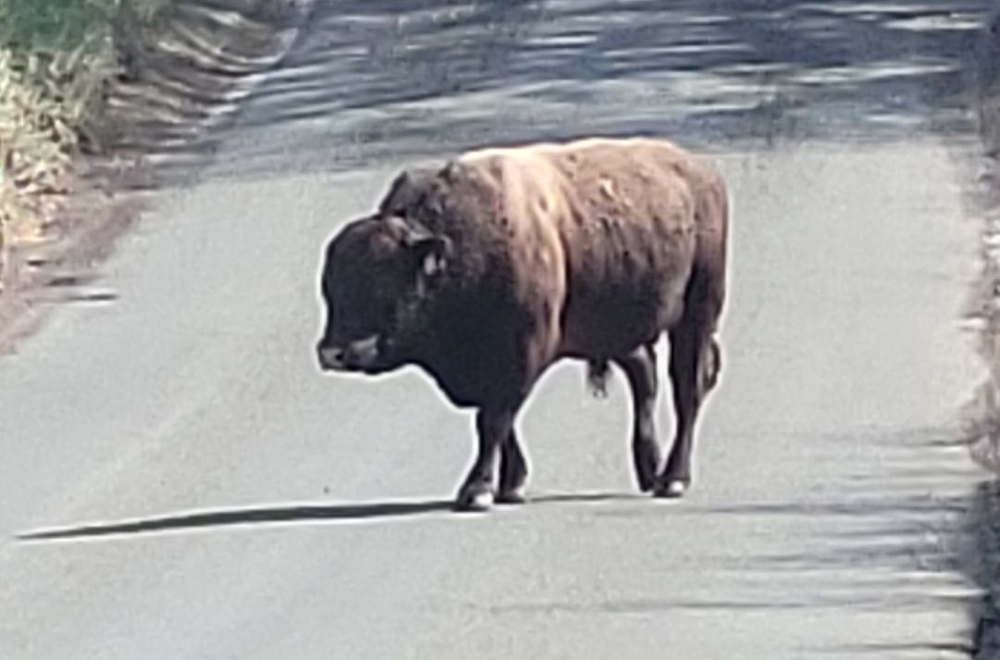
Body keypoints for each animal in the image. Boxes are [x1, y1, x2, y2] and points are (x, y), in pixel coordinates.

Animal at [316, 136, 728, 512]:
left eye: (382, 285)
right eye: (330, 288)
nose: (332, 353)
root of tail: (701, 173)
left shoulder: (520, 355)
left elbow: (493, 422)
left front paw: (477, 491)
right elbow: (500, 423)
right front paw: (511, 485)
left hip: (696, 317)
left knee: (687, 390)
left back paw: (673, 479)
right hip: (620, 327)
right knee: (645, 374)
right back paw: (650, 470)